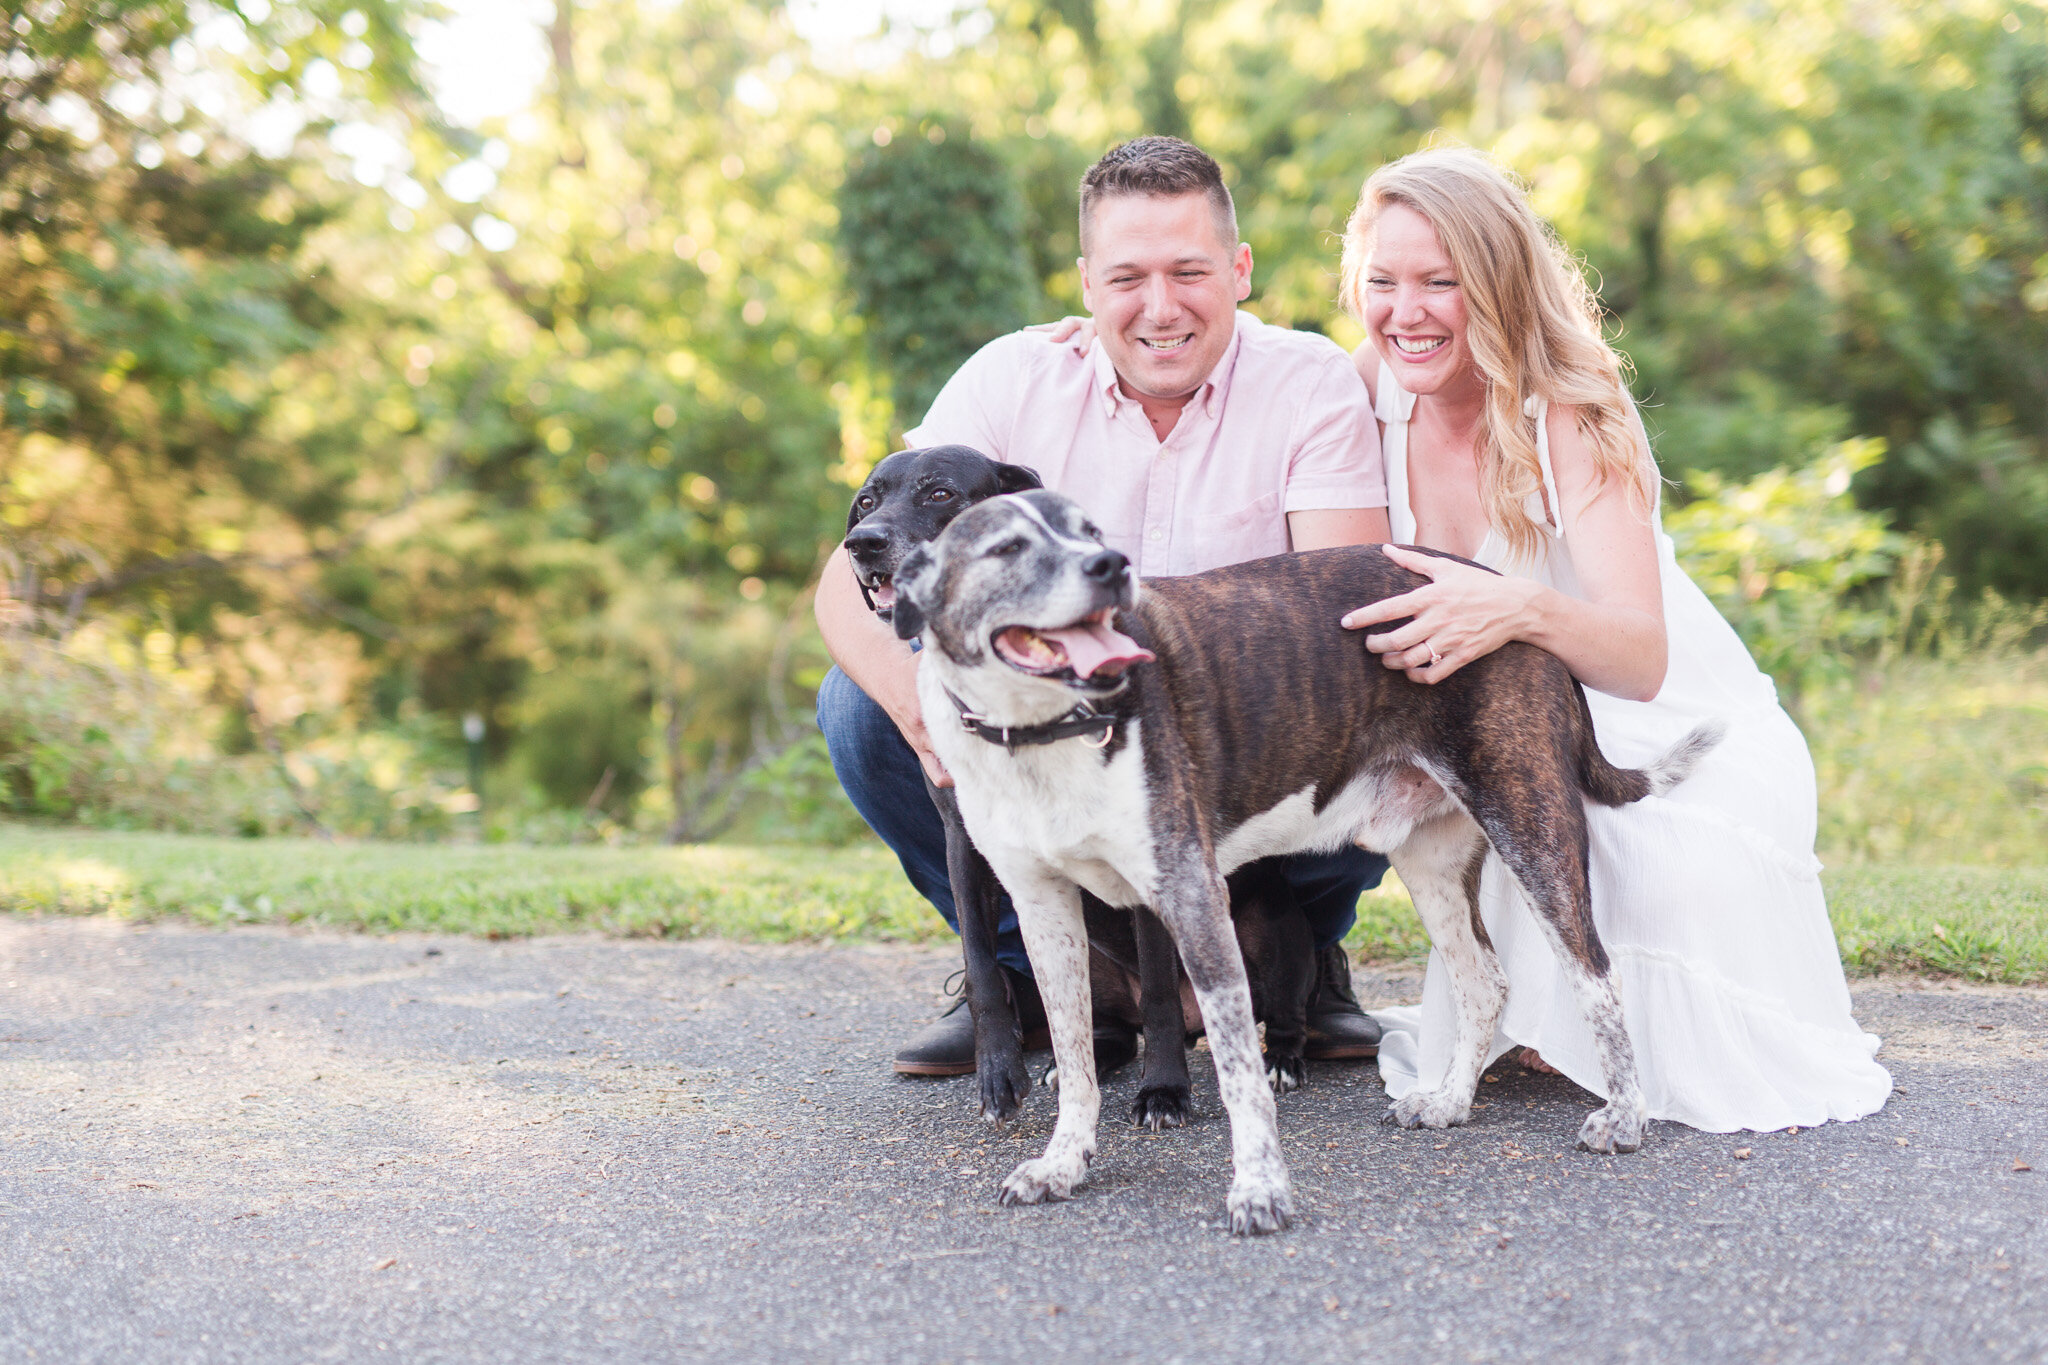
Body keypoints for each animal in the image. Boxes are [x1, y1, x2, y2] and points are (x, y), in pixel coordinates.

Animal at [897, 491, 1712, 1236]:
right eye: (1005, 547)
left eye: (1091, 531)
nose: (1111, 566)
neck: (1042, 729)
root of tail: (1515, 603)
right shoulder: (1043, 907)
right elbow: (1073, 1054)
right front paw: (1063, 1163)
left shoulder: (1191, 898)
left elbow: (1239, 1074)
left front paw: (1259, 1190)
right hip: (1430, 861)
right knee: (1486, 981)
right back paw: (1451, 1102)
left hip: (1530, 822)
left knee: (1596, 975)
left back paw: (1626, 1118)